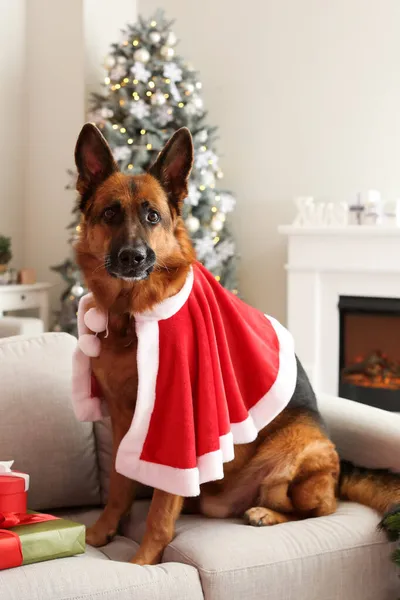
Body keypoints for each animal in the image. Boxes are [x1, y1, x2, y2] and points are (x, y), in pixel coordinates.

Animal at [74, 123, 400, 568]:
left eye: (152, 215)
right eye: (110, 213)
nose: (133, 257)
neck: (133, 317)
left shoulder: (179, 428)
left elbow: (160, 511)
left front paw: (142, 565)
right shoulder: (125, 422)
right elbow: (120, 484)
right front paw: (103, 532)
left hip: (296, 458)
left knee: (321, 509)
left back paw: (266, 513)